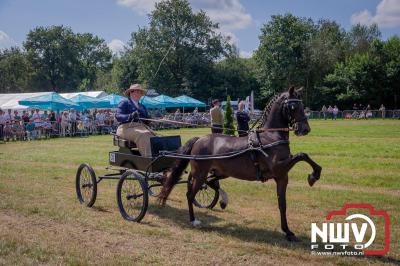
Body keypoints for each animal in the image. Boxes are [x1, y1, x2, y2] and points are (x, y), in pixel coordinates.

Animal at [159, 87, 322, 241]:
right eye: (293, 106)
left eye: (303, 105)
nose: (305, 129)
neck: (271, 136)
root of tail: (199, 139)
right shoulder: (279, 168)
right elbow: (302, 155)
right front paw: (313, 176)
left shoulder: (282, 177)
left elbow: (282, 204)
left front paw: (288, 232)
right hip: (200, 174)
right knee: (190, 194)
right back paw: (193, 220)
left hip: (218, 172)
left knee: (211, 184)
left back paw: (222, 200)